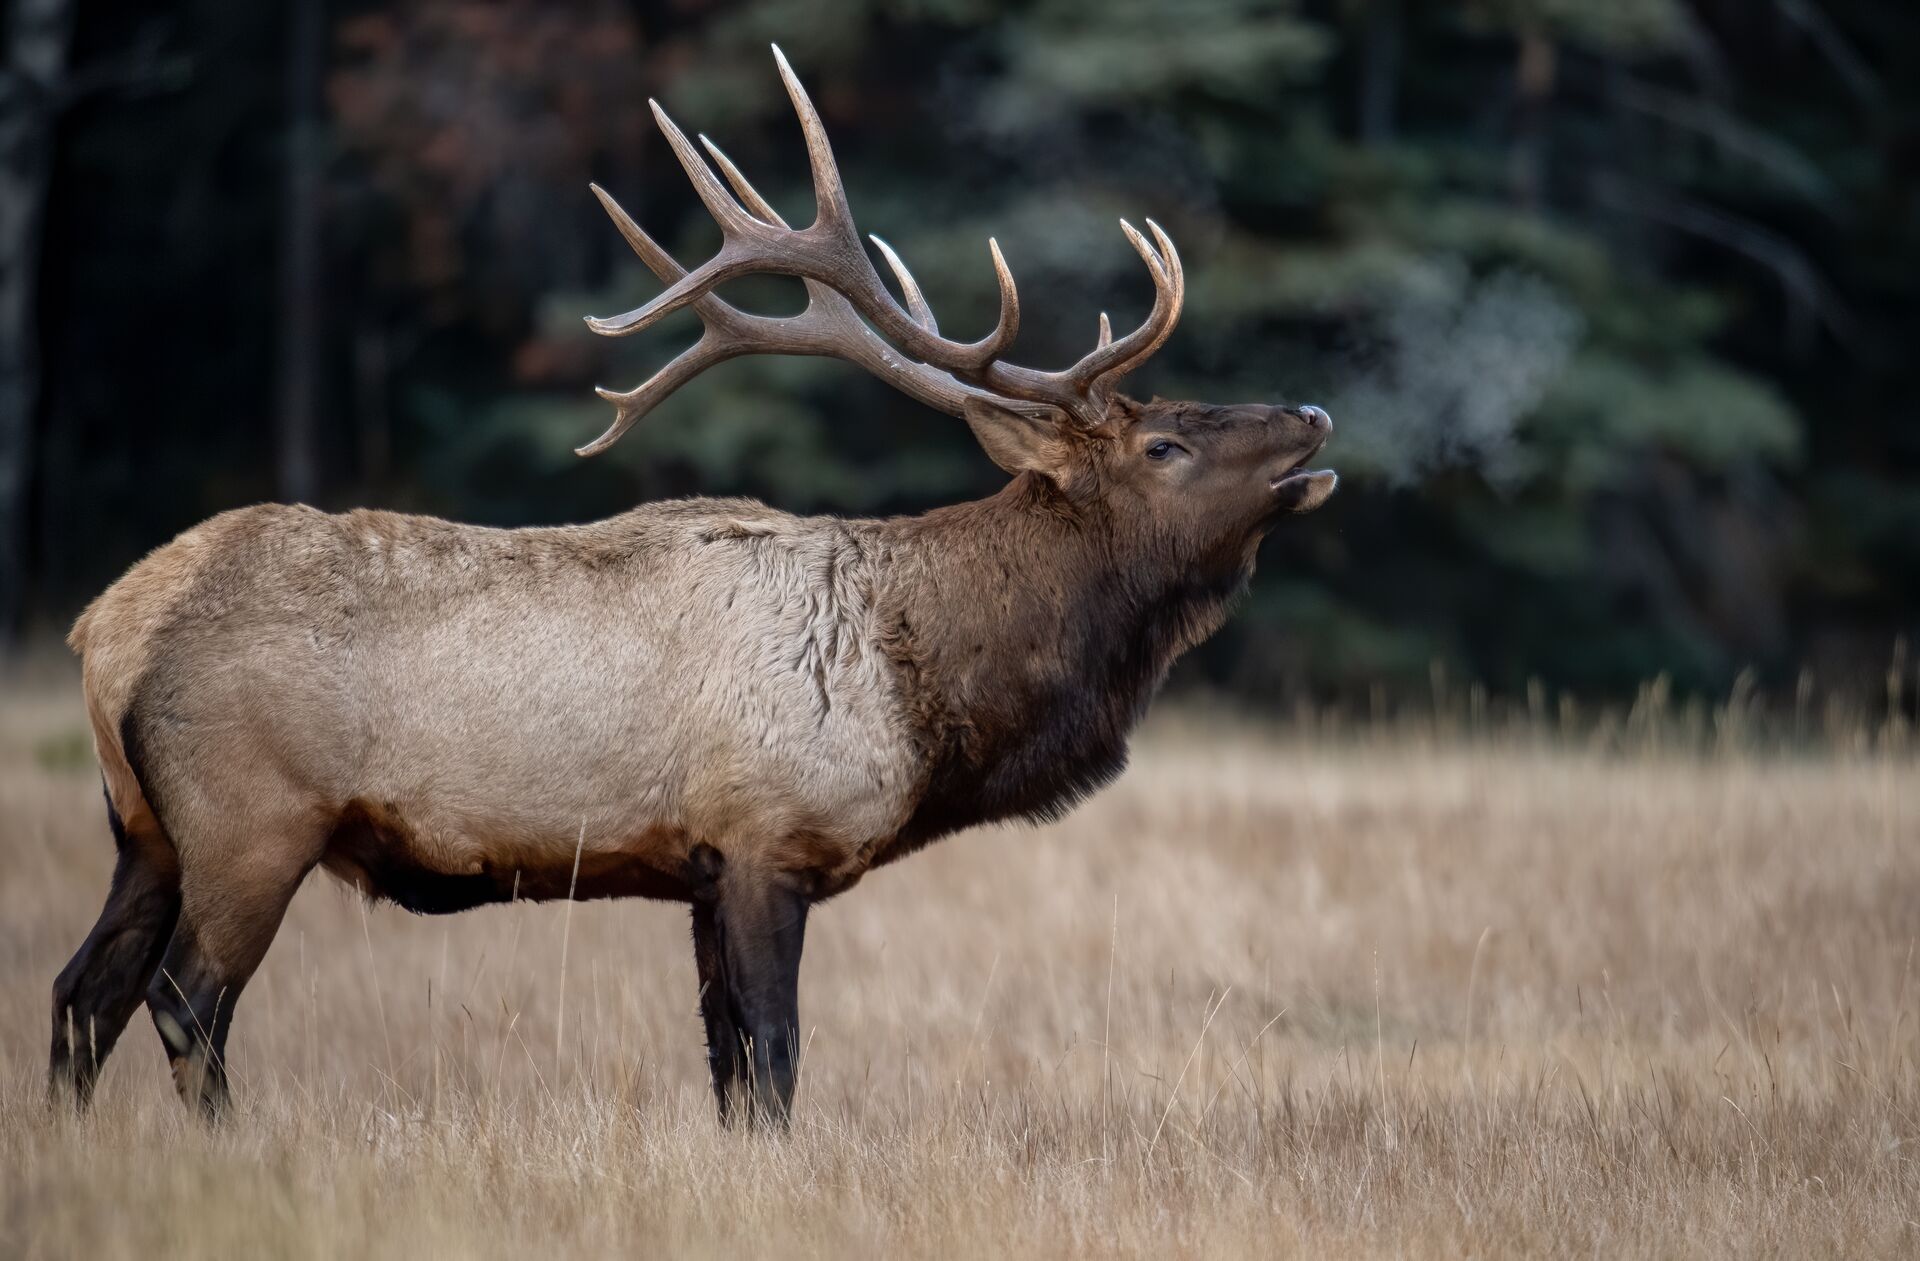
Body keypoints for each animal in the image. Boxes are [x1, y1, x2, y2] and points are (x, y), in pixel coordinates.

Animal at [48, 49, 1336, 1128]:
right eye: (1165, 442)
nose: (1316, 413)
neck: (928, 685)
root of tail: (106, 627)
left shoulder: (701, 871)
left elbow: (726, 1066)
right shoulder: (768, 836)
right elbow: (772, 1056)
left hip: (144, 831)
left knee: (79, 992)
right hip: (251, 820)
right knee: (185, 1002)